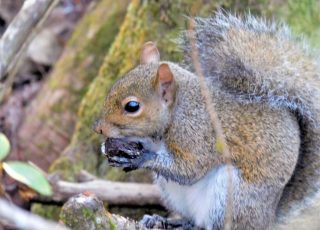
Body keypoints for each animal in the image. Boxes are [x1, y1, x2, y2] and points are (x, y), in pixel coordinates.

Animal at [93, 11, 320, 230]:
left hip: (231, 197)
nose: (98, 128)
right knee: (193, 218)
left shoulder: (197, 136)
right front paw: (108, 149)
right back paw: (169, 221)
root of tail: (268, 219)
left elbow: (189, 169)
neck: (177, 113)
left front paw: (141, 158)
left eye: (132, 106)